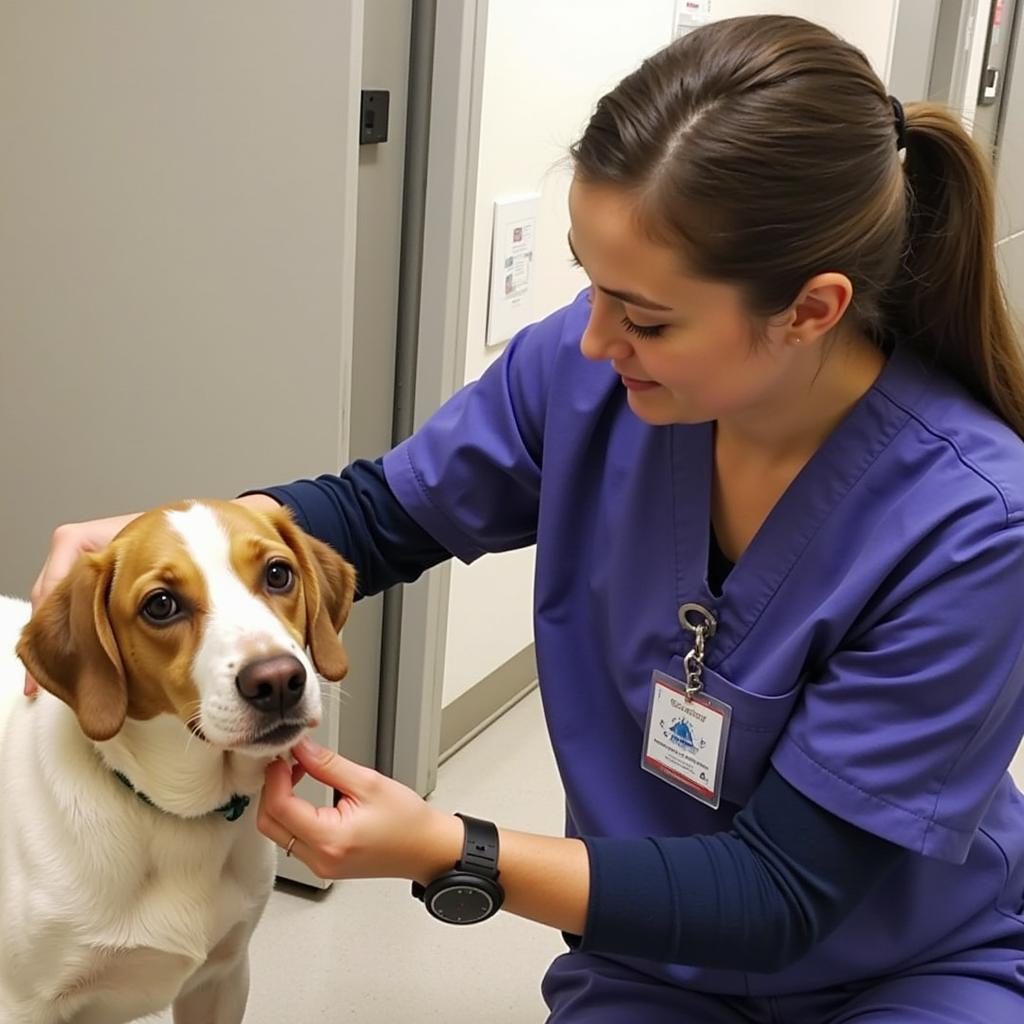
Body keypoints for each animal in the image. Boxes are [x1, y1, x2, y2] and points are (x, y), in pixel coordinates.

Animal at [0, 501, 356, 1024]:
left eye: (278, 574)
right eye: (161, 604)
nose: (277, 682)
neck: (177, 818)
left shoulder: (223, 977)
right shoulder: (24, 1004)